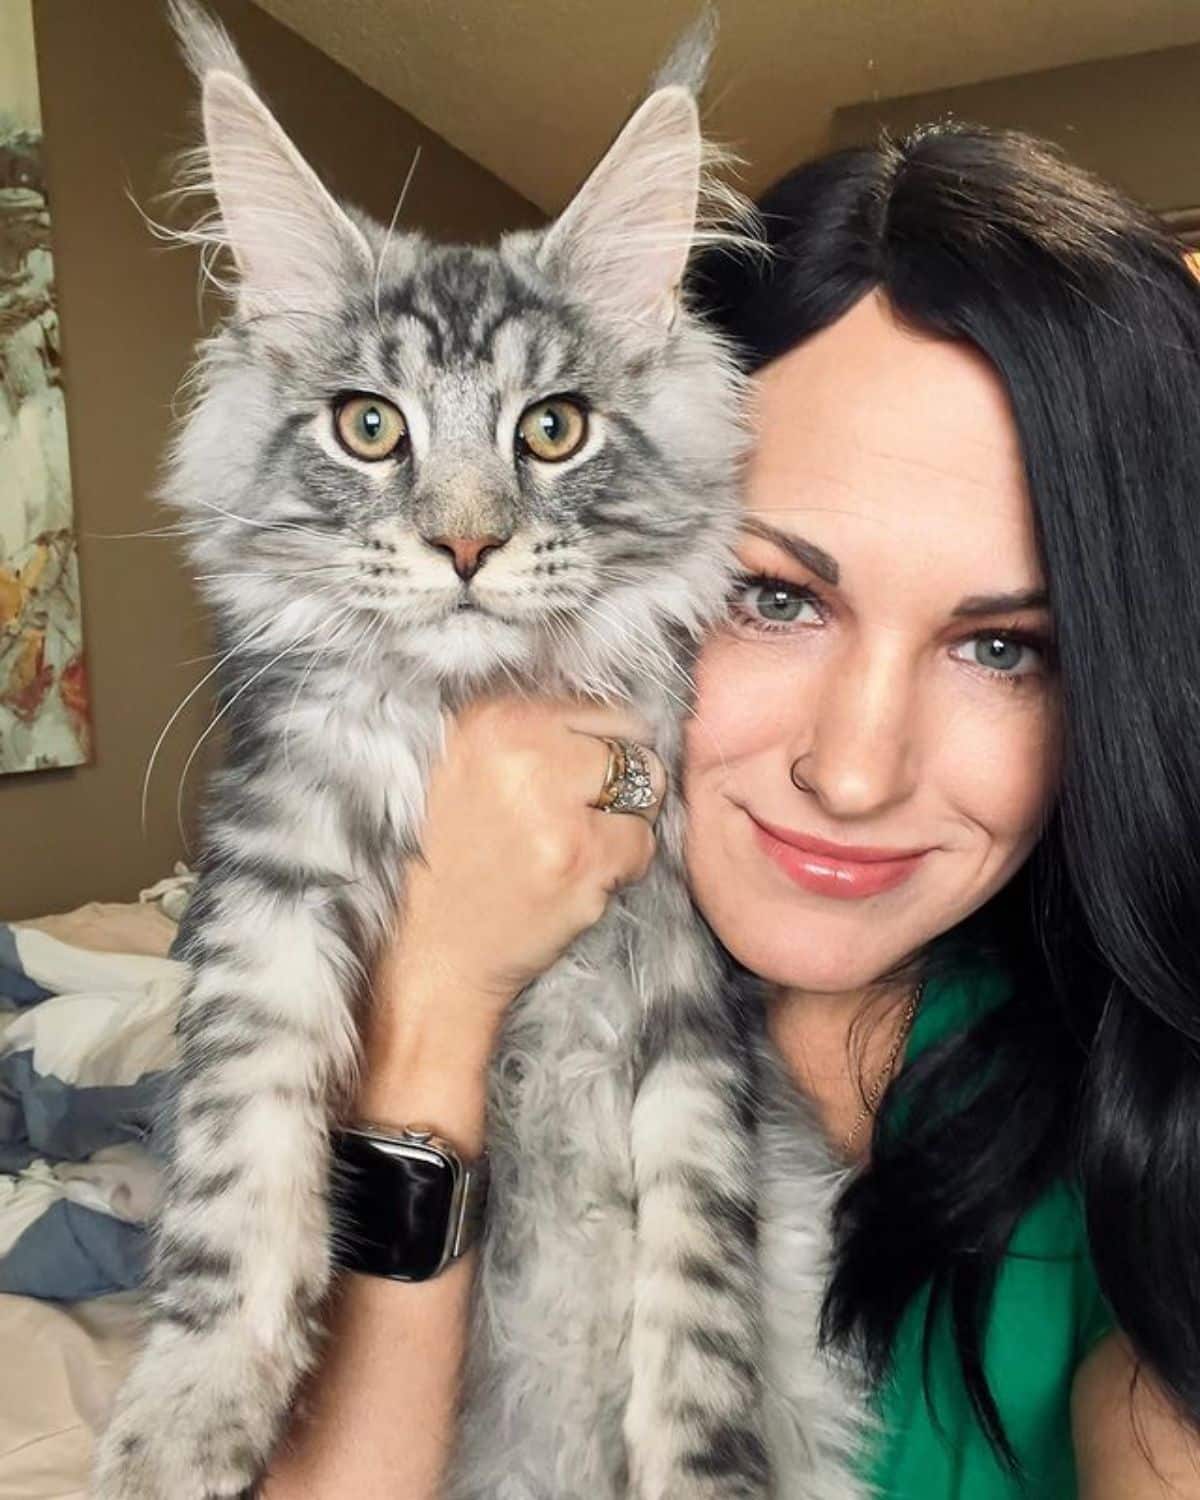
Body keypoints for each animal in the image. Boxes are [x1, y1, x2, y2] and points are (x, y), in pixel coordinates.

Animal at [91, 2, 864, 1500]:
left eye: (551, 428)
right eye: (369, 427)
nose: (463, 544)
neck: (469, 705)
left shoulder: (692, 972)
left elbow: (701, 1288)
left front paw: (707, 1466)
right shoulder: (272, 869)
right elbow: (241, 1144)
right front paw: (187, 1420)